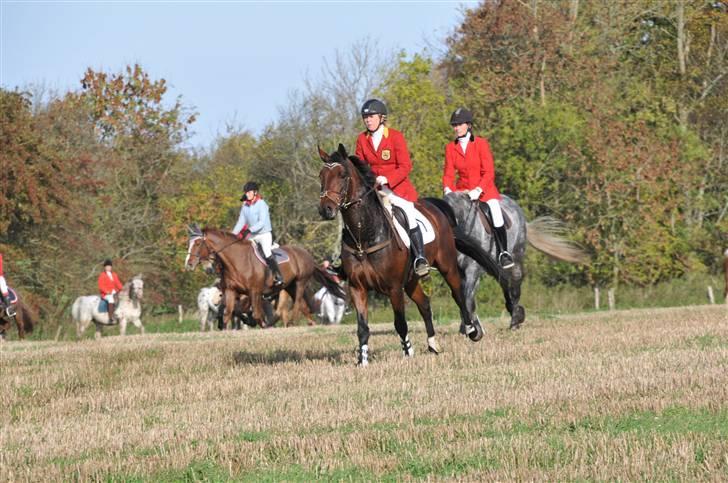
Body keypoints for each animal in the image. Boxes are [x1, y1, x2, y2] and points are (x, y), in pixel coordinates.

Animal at [182, 227, 344, 328]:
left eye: (198, 243)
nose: (188, 263)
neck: (237, 260)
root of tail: (306, 253)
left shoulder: (254, 292)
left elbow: (256, 314)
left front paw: (259, 324)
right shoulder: (231, 291)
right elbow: (228, 312)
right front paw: (225, 329)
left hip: (300, 283)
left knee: (297, 304)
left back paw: (290, 322)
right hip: (289, 286)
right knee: (303, 306)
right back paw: (310, 323)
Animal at [318, 144, 484, 366]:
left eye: (342, 175)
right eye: (321, 175)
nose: (325, 210)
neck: (365, 236)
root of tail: (435, 209)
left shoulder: (394, 288)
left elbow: (400, 323)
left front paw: (408, 352)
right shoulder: (357, 288)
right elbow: (362, 328)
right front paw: (362, 360)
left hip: (446, 266)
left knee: (458, 293)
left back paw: (472, 330)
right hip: (412, 280)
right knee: (424, 304)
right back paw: (433, 344)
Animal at [440, 191, 588, 330]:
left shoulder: (473, 269)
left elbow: (467, 297)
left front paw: (472, 328)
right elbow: (464, 297)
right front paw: (468, 327)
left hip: (516, 256)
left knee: (515, 285)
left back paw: (515, 319)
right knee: (505, 284)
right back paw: (513, 311)